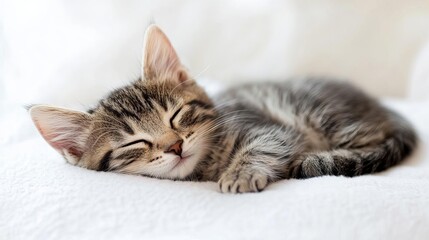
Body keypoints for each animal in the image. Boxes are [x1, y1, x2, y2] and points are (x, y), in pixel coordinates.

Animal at [29, 24, 414, 193]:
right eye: (134, 143)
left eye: (176, 115)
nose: (175, 146)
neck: (206, 166)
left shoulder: (270, 128)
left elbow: (262, 146)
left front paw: (240, 173)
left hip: (321, 114)